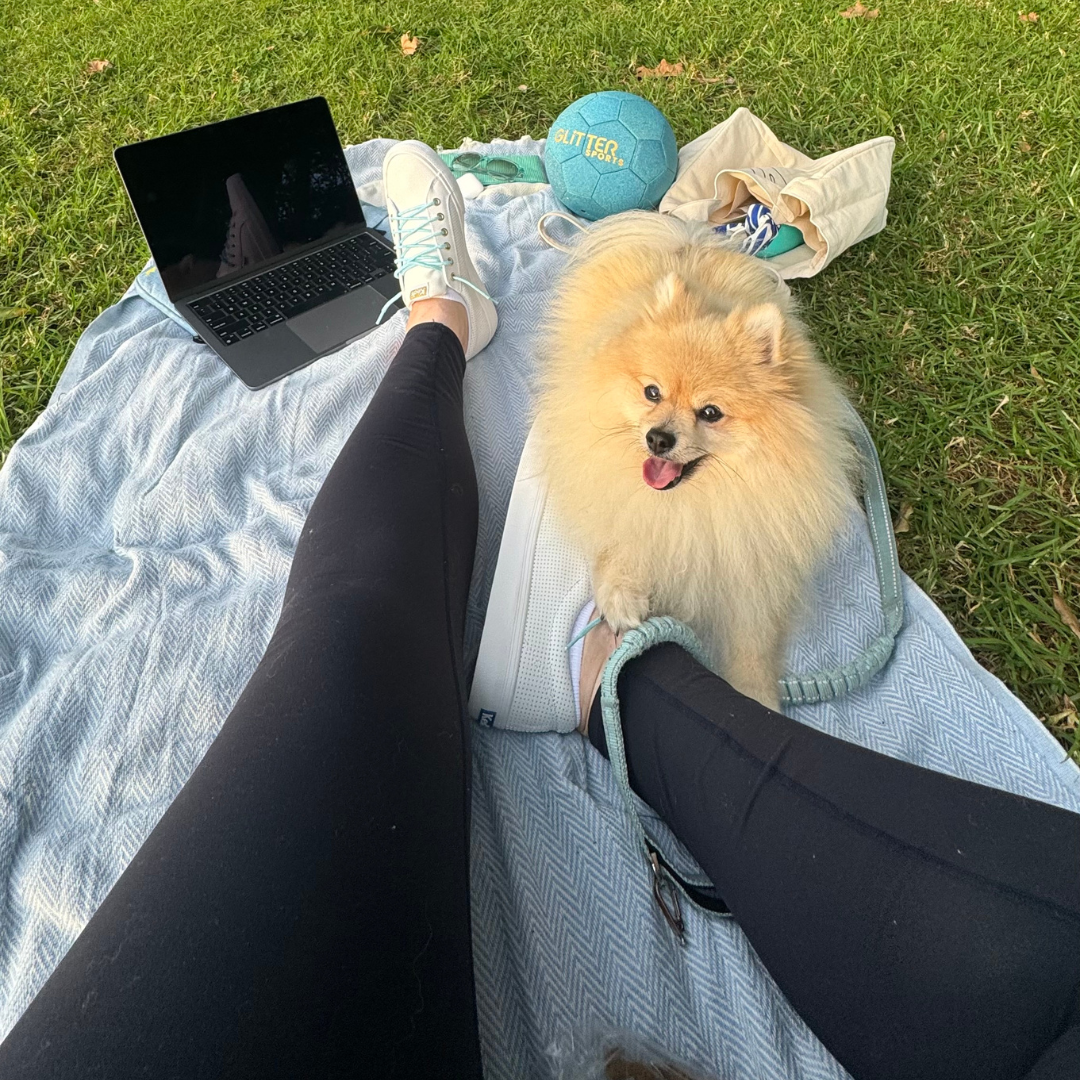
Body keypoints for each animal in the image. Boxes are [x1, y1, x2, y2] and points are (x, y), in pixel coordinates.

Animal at [533, 213, 859, 712]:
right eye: (652, 392)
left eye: (710, 413)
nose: (658, 438)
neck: (695, 503)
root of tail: (682, 241)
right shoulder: (605, 479)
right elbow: (619, 536)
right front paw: (622, 595)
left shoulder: (753, 563)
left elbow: (753, 642)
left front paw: (756, 698)